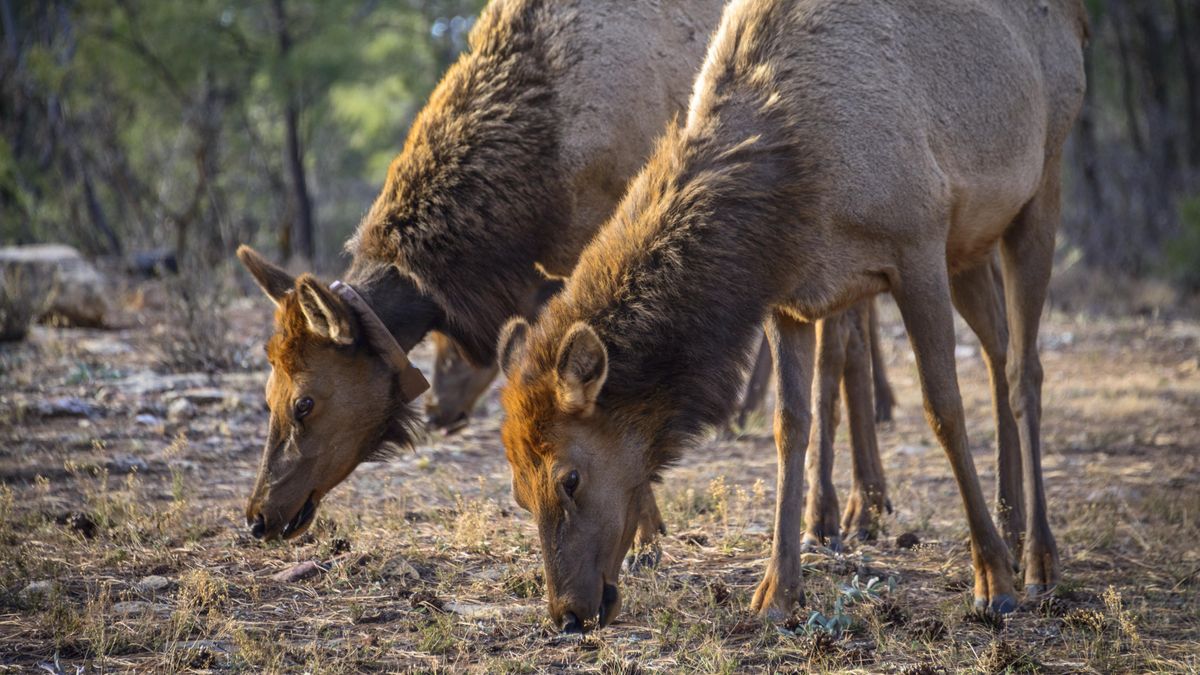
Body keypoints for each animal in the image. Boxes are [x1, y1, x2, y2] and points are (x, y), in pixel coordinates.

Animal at [496, 0, 1089, 629]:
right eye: (518, 490)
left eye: (570, 477)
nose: (568, 612)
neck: (791, 189)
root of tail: (1079, 23)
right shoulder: (791, 299)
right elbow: (790, 426)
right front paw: (777, 592)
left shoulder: (918, 244)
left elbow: (943, 410)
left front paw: (991, 579)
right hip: (970, 248)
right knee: (999, 348)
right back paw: (1012, 524)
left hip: (1040, 185)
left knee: (1025, 368)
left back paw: (1037, 559)